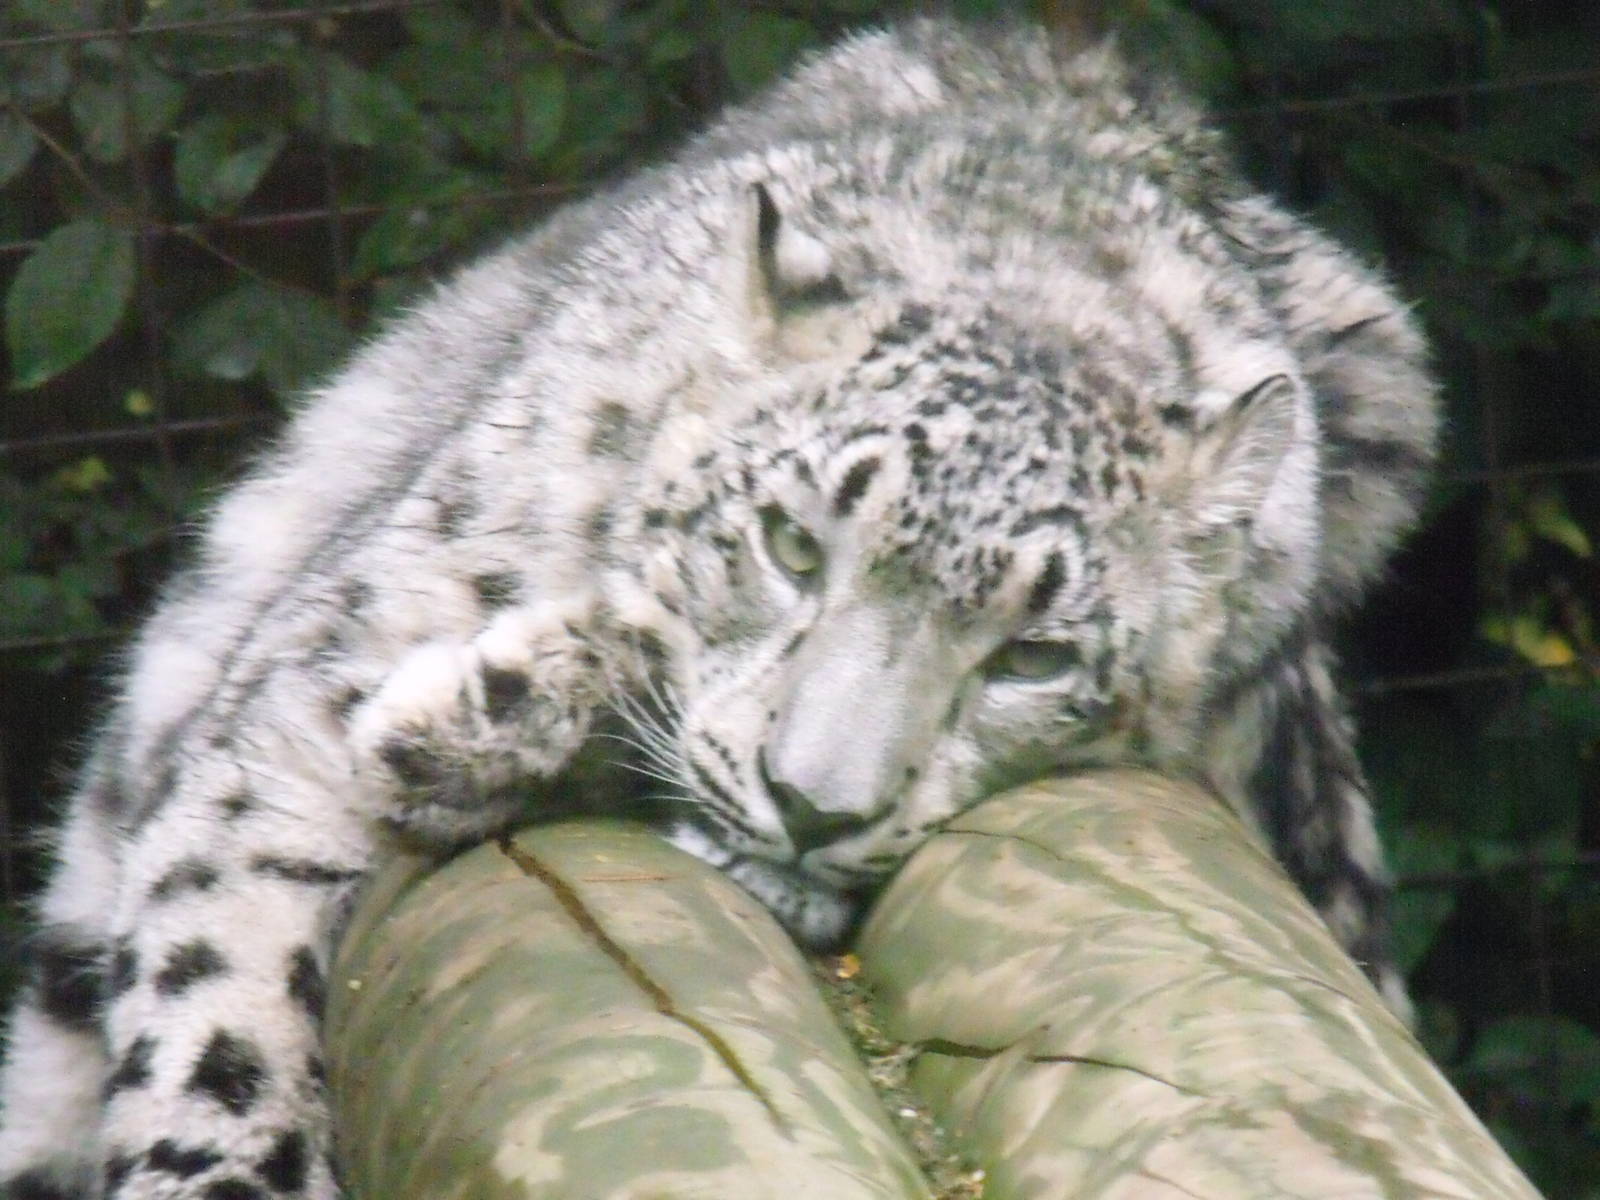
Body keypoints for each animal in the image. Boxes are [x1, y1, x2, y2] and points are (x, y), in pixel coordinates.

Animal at [0, 17, 1437, 1199]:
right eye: (793, 542)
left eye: (1032, 655)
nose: (815, 807)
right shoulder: (301, 714)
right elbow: (222, 997)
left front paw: (491, 713)